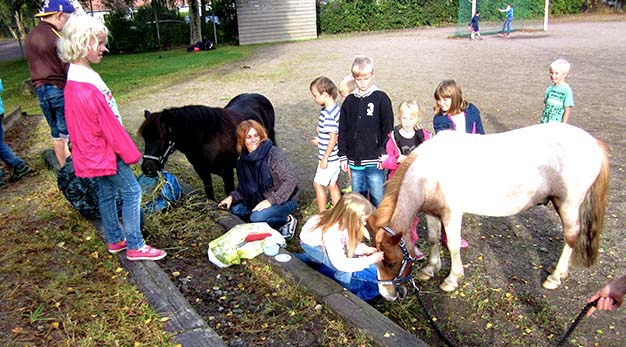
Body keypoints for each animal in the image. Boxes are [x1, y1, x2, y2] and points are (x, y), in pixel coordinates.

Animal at [139, 93, 276, 201]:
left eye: (161, 137)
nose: (147, 168)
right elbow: (209, 193)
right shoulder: (203, 172)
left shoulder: (227, 173)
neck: (207, 141)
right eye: (145, 138)